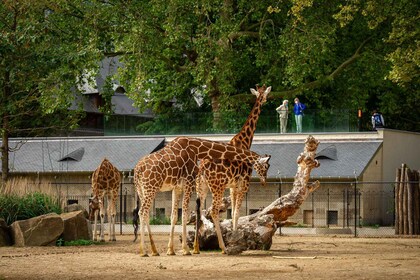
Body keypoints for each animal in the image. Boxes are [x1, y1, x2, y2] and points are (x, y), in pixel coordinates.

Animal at [133, 137, 270, 258]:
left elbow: (174, 216)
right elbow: (184, 214)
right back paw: (143, 251)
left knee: (144, 213)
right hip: (151, 188)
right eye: (266, 166)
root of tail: (137, 170)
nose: (264, 181)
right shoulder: (189, 181)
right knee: (142, 212)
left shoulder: (177, 187)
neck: (197, 150)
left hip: (142, 190)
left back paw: (154, 250)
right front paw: (186, 250)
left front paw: (170, 250)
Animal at [194, 83, 272, 254]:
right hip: (217, 187)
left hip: (201, 187)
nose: (264, 101)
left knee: (199, 210)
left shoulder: (233, 185)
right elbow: (236, 212)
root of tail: (202, 168)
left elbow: (233, 212)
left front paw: (234, 236)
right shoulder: (244, 183)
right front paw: (236, 238)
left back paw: (196, 246)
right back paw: (222, 247)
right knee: (213, 210)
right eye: (264, 95)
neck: (244, 141)